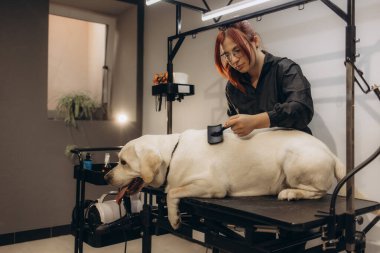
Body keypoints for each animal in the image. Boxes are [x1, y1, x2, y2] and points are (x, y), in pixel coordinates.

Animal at [104, 128, 344, 229]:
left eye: (123, 162)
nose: (105, 176)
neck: (172, 153)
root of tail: (331, 153)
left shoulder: (213, 185)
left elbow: (172, 191)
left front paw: (174, 219)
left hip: (293, 159)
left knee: (318, 192)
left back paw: (290, 192)